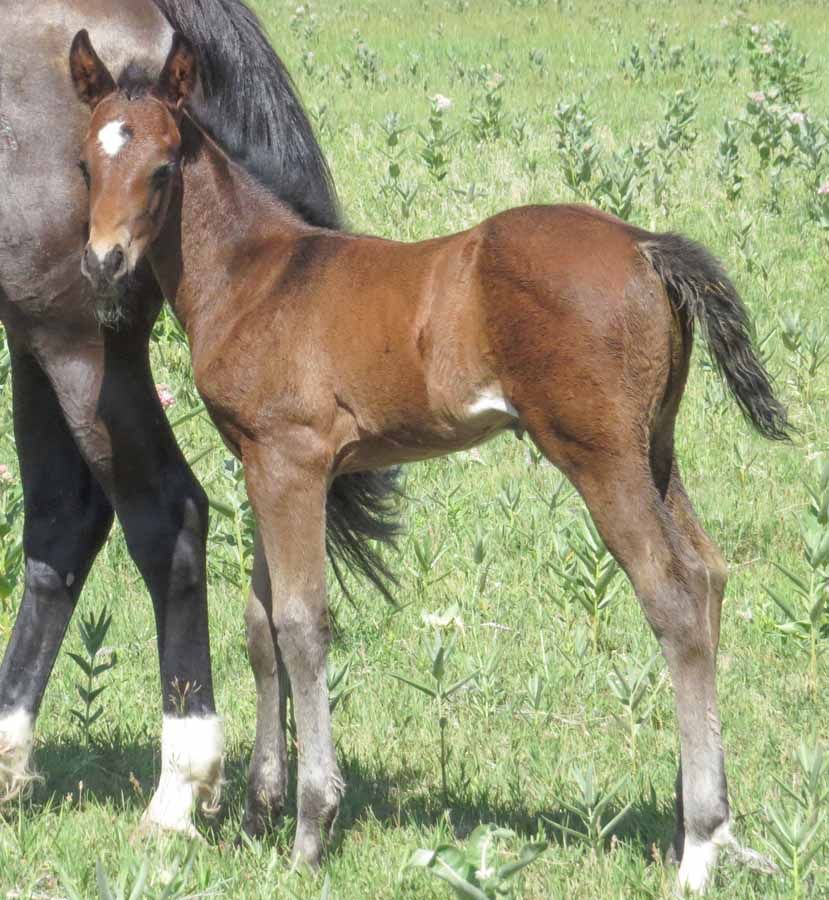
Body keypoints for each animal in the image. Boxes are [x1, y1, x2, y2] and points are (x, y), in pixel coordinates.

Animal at [68, 30, 790, 890]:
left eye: (163, 166)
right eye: (85, 163)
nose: (103, 263)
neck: (258, 274)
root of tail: (645, 246)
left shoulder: (293, 459)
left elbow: (302, 623)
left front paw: (310, 827)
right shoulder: (260, 462)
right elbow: (259, 625)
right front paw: (257, 813)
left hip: (599, 455)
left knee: (673, 595)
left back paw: (697, 850)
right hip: (655, 448)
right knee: (708, 575)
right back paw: (717, 832)